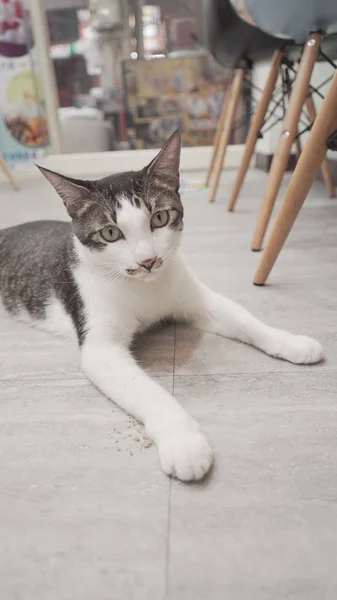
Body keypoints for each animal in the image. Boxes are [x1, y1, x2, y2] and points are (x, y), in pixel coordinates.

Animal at [0, 132, 322, 482]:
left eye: (160, 218)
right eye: (110, 232)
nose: (148, 260)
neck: (145, 288)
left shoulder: (192, 295)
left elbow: (243, 318)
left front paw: (292, 342)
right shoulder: (99, 343)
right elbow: (149, 392)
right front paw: (184, 443)